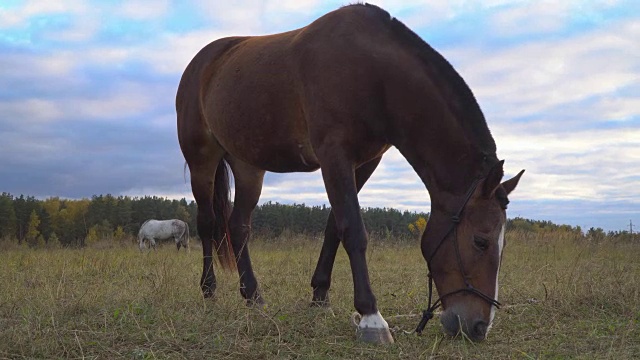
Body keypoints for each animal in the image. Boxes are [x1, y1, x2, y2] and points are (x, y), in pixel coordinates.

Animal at [176, 4, 524, 344]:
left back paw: (254, 298)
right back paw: (209, 292)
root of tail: (202, 63)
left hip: (249, 166)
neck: (374, 73)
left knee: (238, 227)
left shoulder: (365, 162)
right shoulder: (334, 154)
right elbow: (353, 229)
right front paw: (371, 318)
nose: (479, 327)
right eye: (481, 241)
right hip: (202, 160)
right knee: (208, 224)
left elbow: (334, 227)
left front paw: (320, 297)